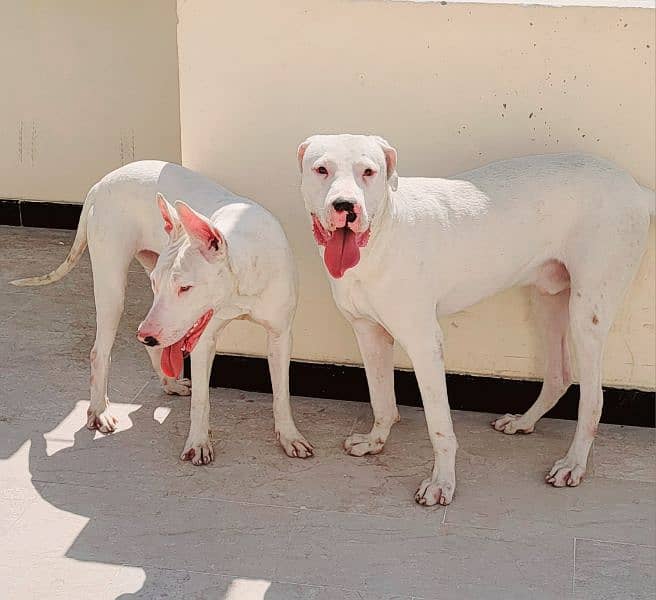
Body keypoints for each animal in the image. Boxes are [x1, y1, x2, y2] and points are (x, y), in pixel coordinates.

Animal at [13, 161, 312, 464]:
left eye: (185, 287)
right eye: (163, 282)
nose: (146, 335)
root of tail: (101, 183)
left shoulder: (280, 335)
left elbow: (281, 393)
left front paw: (290, 436)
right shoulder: (203, 339)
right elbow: (201, 400)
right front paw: (199, 443)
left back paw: (170, 382)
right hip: (117, 291)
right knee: (100, 351)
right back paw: (99, 410)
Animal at [300, 135, 652, 506]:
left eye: (368, 171)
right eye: (321, 169)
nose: (346, 206)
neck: (383, 236)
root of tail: (636, 188)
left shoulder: (425, 344)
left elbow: (439, 425)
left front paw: (442, 482)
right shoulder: (369, 334)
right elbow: (381, 399)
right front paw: (375, 441)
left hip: (587, 315)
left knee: (594, 400)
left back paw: (573, 463)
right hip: (548, 301)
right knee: (559, 376)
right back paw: (524, 422)